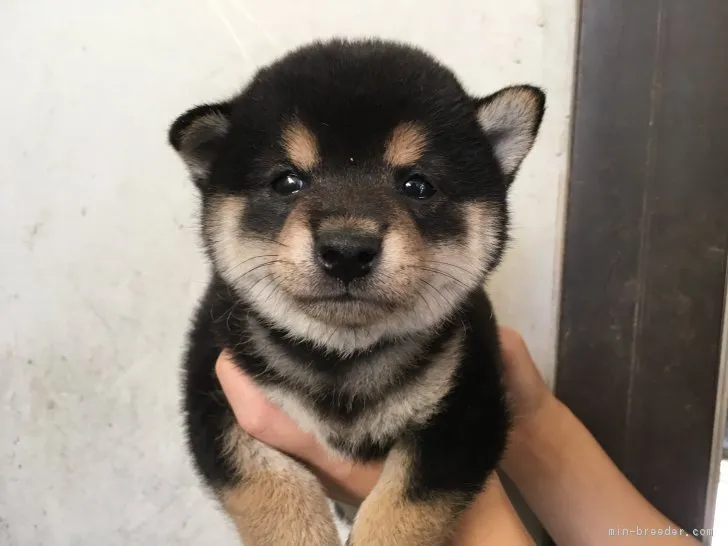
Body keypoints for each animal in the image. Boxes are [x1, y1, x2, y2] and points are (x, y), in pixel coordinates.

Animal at [171, 39, 544, 544]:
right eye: (287, 181)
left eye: (417, 185)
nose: (347, 250)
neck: (342, 359)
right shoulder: (215, 392)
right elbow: (272, 493)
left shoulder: (468, 404)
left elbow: (402, 510)